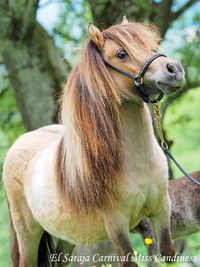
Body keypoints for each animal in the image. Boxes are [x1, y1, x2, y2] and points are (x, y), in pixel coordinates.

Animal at [3, 19, 184, 267]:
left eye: (149, 45)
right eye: (121, 54)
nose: (174, 69)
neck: (137, 162)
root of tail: (20, 142)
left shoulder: (162, 210)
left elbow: (167, 253)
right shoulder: (117, 226)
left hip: (66, 234)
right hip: (28, 234)